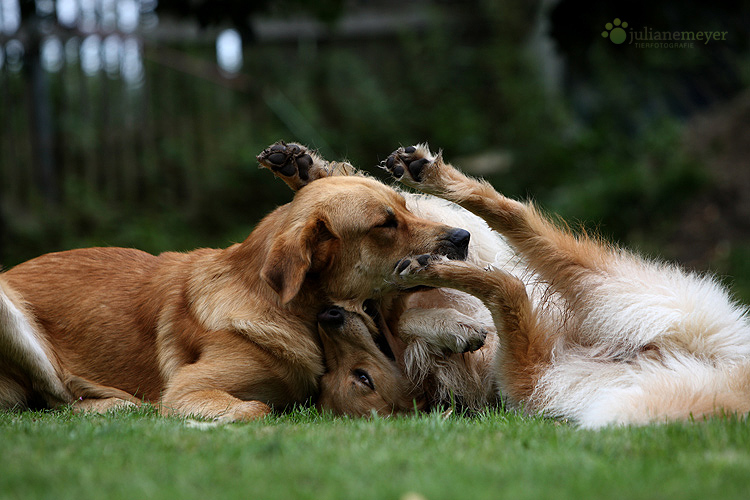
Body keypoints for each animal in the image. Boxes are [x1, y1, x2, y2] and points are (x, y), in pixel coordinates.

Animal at [0, 150, 470, 420]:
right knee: (57, 398)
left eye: (405, 207)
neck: (283, 308)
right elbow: (256, 409)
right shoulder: (188, 389)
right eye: (385, 224)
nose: (463, 237)